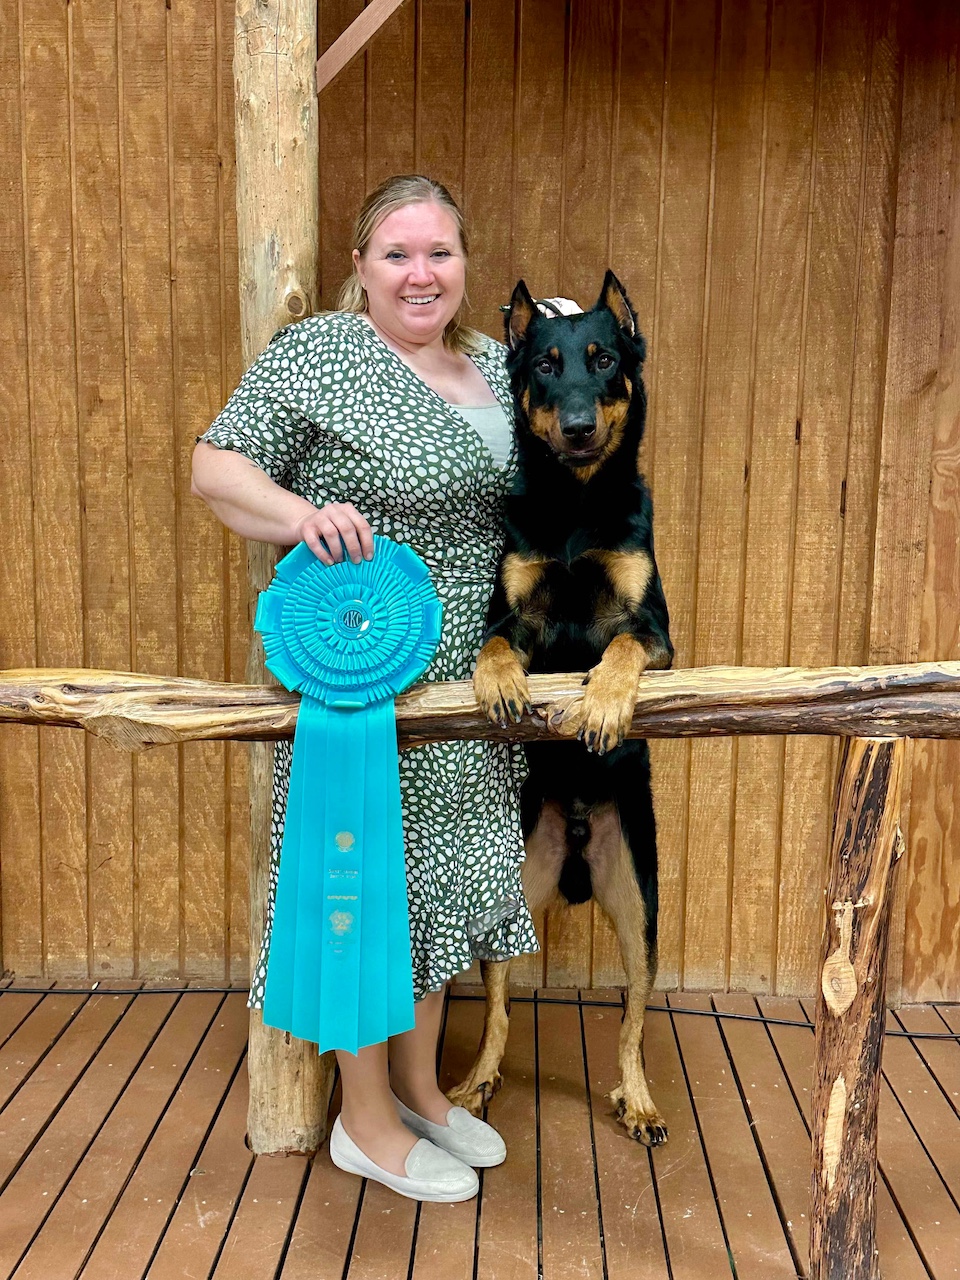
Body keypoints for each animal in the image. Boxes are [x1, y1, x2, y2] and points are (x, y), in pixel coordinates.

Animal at [450, 271, 673, 1145]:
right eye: (545, 365)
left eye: (603, 358)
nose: (578, 427)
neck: (577, 506)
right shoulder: (514, 613)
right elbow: (494, 646)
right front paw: (502, 685)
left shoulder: (658, 632)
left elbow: (619, 650)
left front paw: (605, 705)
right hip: (509, 910)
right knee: (498, 1011)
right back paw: (475, 1082)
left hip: (640, 909)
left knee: (634, 1024)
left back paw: (638, 1100)